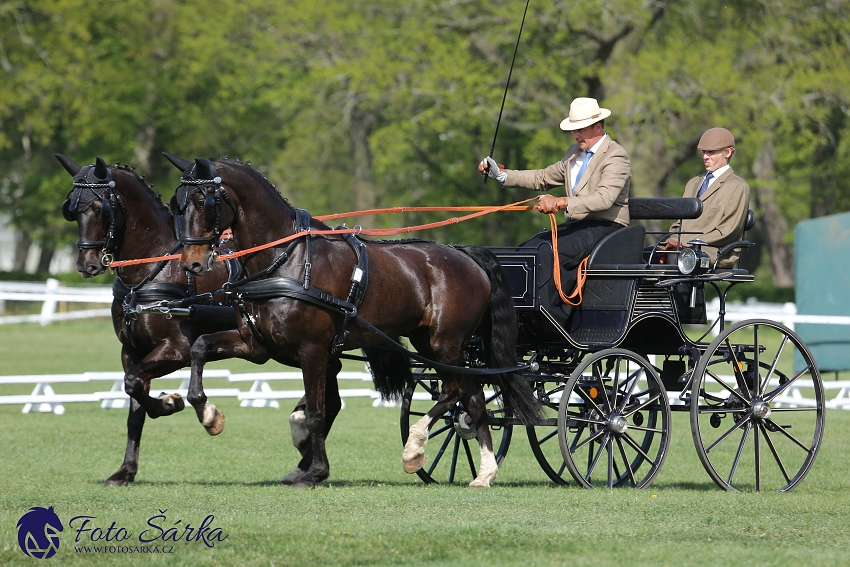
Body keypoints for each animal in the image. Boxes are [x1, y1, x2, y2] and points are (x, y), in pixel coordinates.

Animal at [56, 154, 237, 484]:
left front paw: (172, 403)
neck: (154, 270)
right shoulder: (132, 351)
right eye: (71, 210)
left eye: (101, 208)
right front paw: (125, 471)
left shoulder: (177, 349)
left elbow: (135, 384)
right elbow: (134, 400)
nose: (87, 265)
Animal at [165, 155, 536, 488]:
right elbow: (199, 348)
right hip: (429, 342)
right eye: (176, 205)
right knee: (471, 395)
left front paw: (315, 472)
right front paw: (209, 414)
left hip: (445, 343)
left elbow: (317, 412)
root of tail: (465, 255)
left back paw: (415, 447)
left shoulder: (312, 351)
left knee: (456, 389)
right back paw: (484, 473)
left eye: (205, 202)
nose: (191, 264)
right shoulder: (256, 345)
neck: (287, 261)